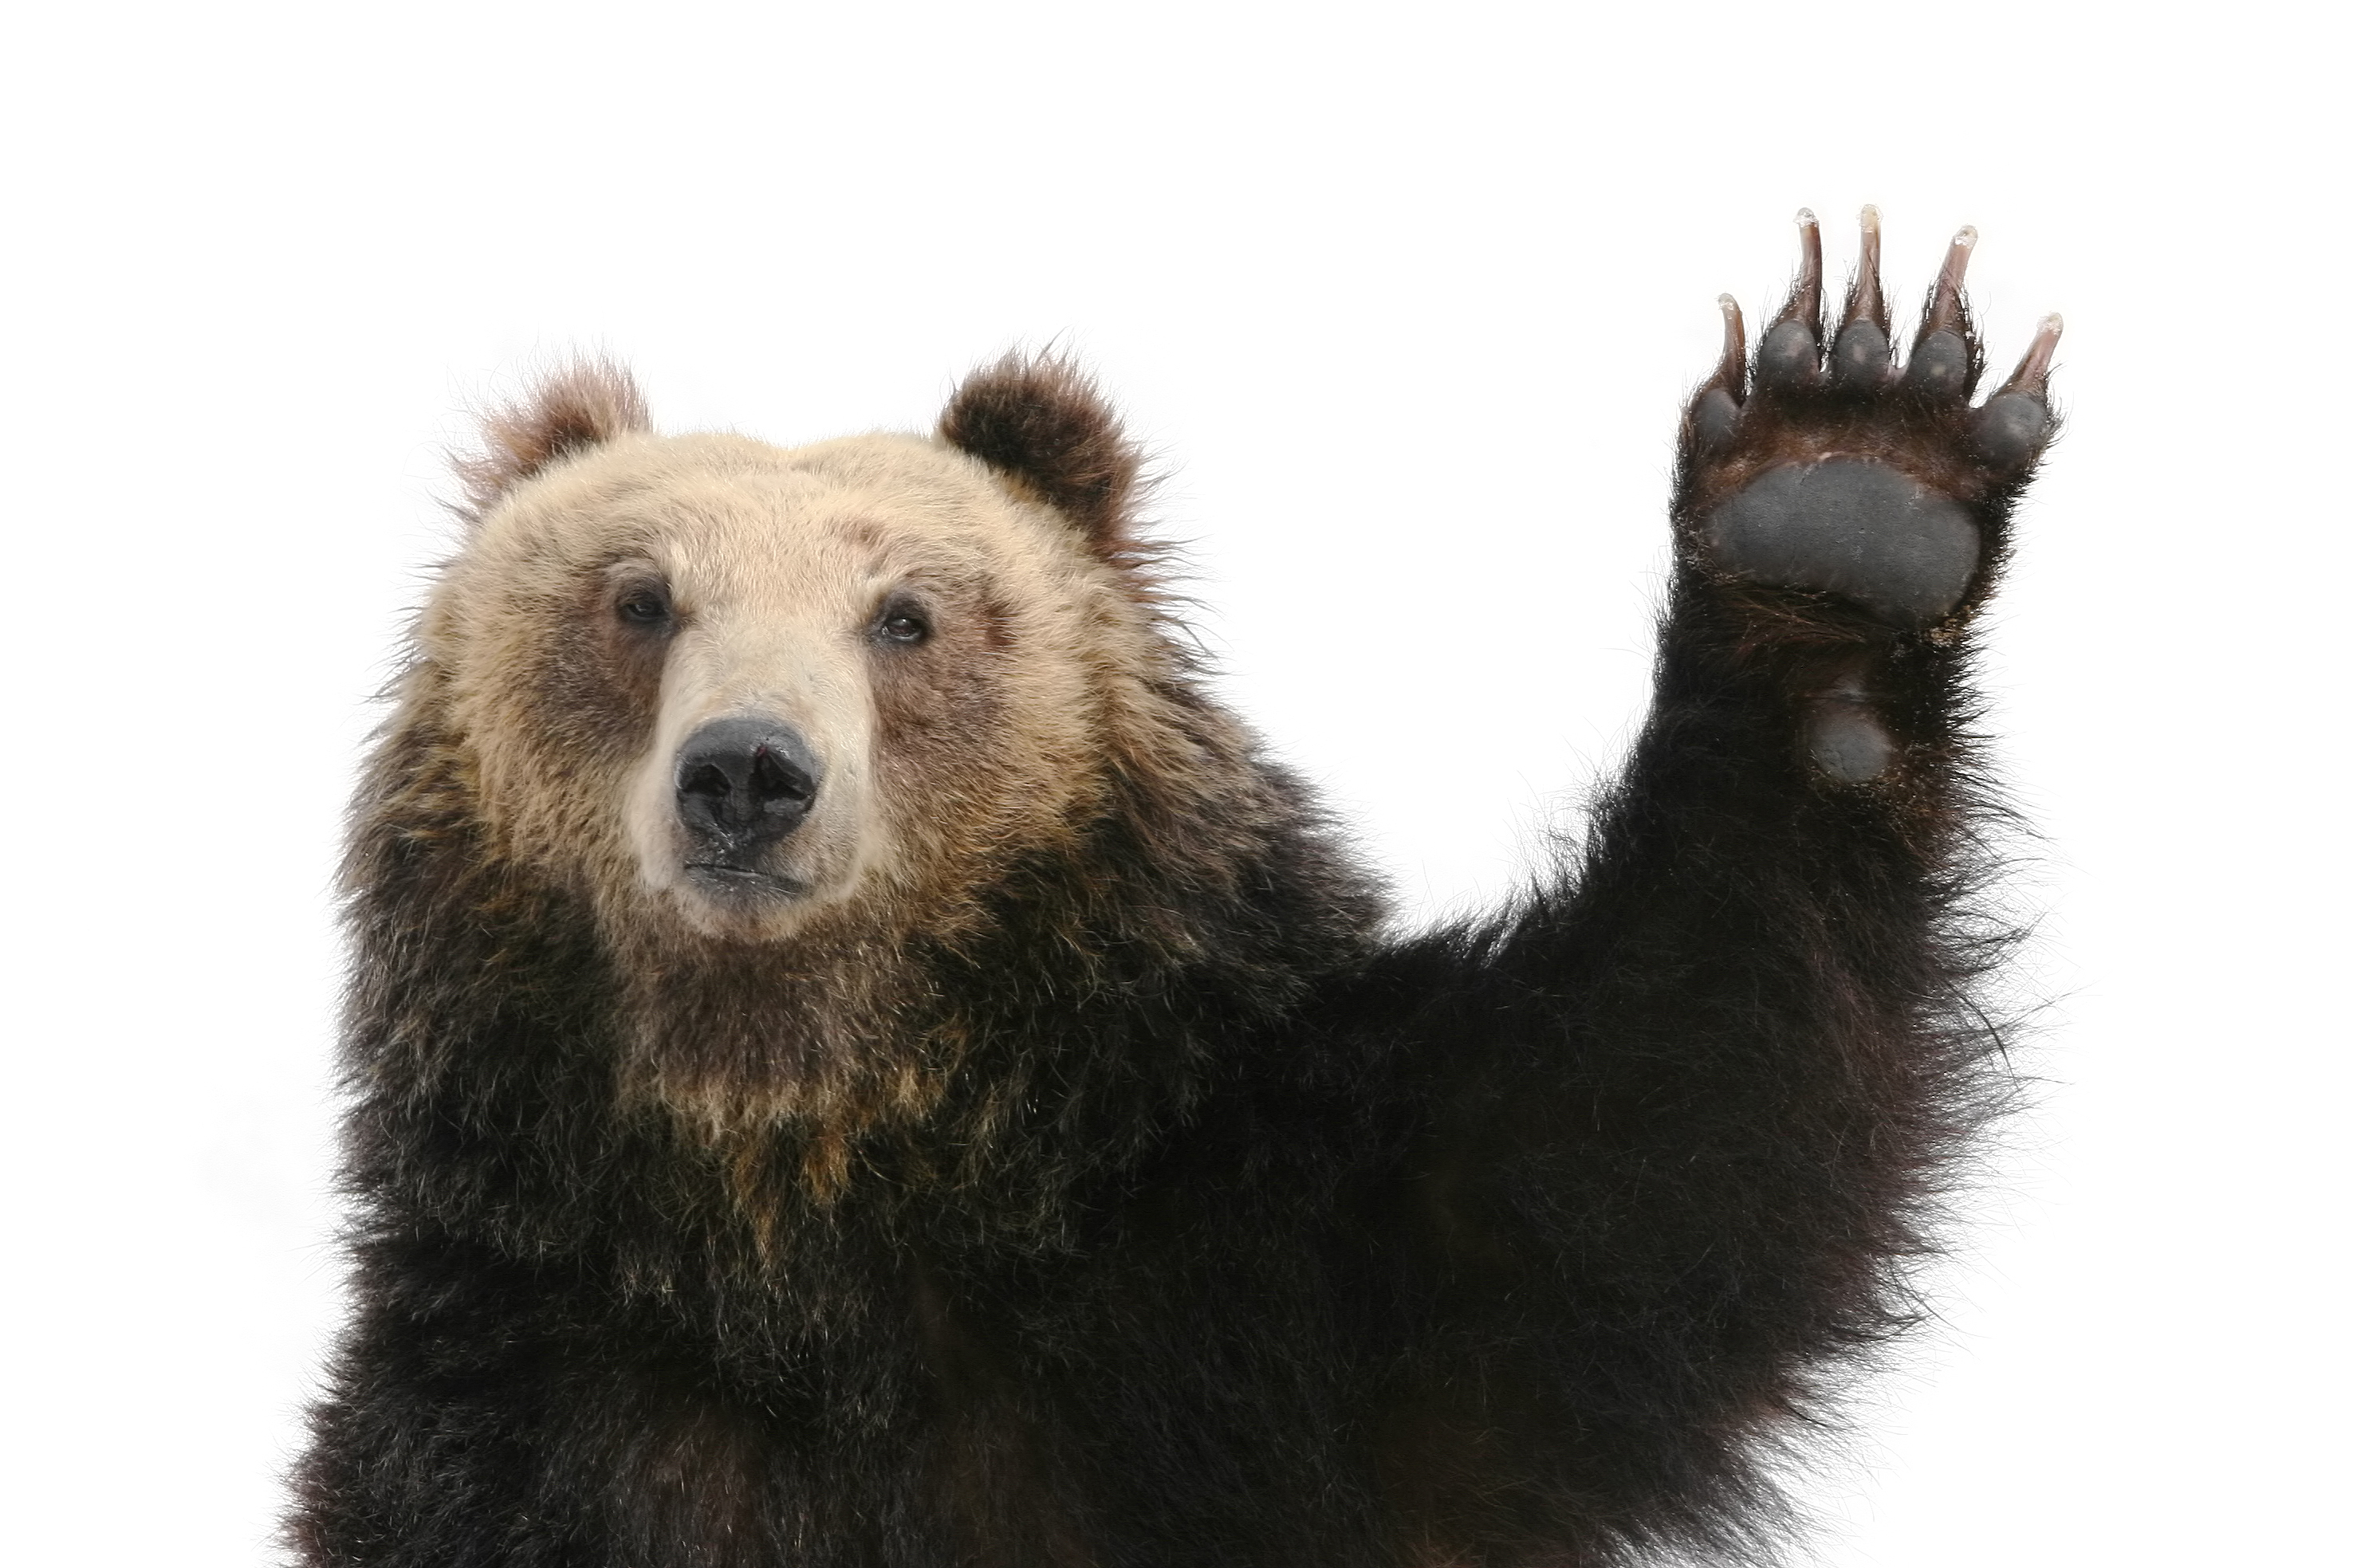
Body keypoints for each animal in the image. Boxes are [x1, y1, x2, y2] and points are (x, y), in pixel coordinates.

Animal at [289, 207, 2059, 1568]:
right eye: (640, 597)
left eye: (906, 613)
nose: (746, 772)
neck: (802, 1174)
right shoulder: (517, 1401)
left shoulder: (1247, 1275)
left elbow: (1648, 1146)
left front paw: (1845, 482)